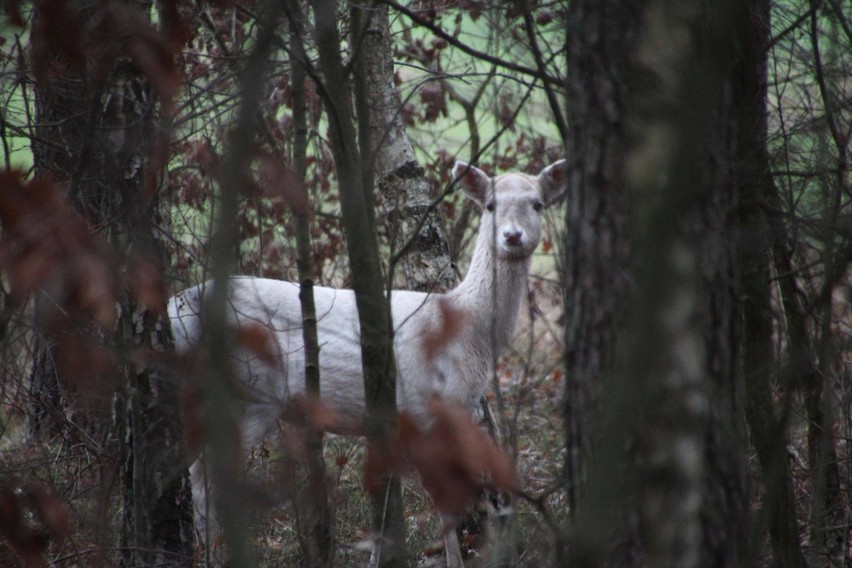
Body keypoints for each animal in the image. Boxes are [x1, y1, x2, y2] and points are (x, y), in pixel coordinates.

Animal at [166, 159, 564, 564]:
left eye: (537, 204)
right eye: (489, 205)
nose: (512, 236)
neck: (470, 330)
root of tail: (175, 309)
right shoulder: (423, 407)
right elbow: (442, 505)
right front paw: (451, 561)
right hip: (249, 393)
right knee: (206, 482)